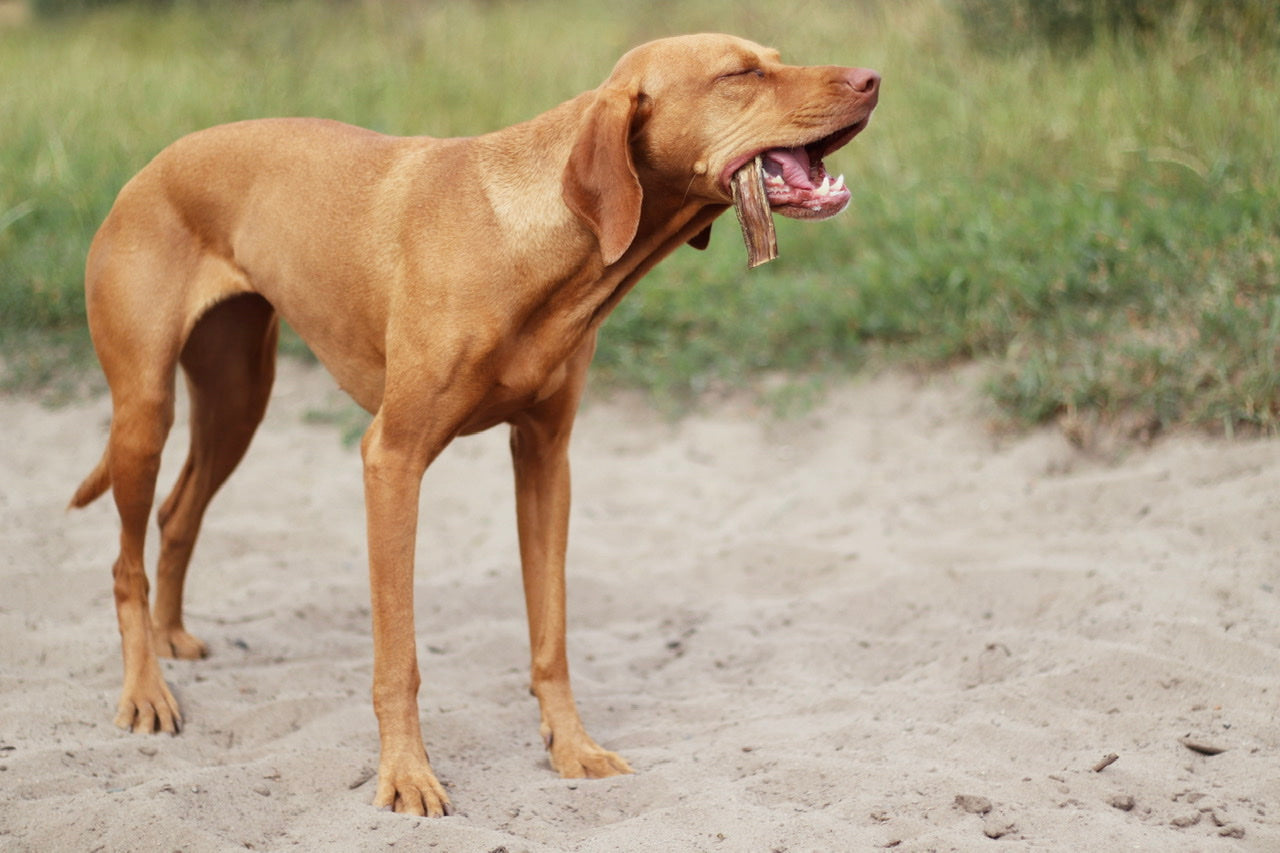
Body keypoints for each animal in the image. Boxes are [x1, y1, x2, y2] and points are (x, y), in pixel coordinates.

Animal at [70, 33, 880, 814]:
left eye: (774, 59)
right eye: (740, 74)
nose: (872, 78)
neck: (534, 234)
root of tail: (151, 166)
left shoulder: (546, 458)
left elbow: (551, 636)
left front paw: (572, 747)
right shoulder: (392, 459)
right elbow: (399, 658)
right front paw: (406, 776)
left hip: (238, 400)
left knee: (178, 513)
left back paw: (171, 637)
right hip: (146, 413)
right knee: (124, 562)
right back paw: (145, 689)